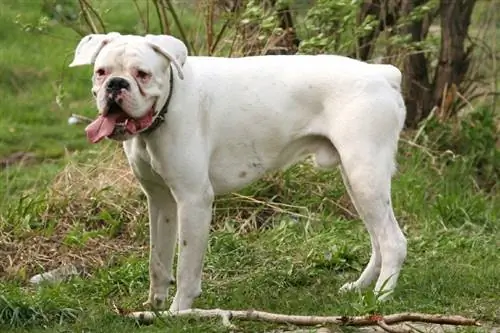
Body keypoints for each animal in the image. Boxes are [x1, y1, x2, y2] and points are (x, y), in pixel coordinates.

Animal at [69, 32, 406, 310]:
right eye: (101, 72)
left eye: (143, 74)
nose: (116, 84)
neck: (167, 107)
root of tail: (383, 73)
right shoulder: (160, 201)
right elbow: (158, 261)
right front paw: (154, 306)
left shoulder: (194, 201)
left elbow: (186, 266)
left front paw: (179, 311)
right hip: (358, 182)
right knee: (378, 241)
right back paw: (361, 287)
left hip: (365, 177)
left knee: (392, 241)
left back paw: (381, 296)